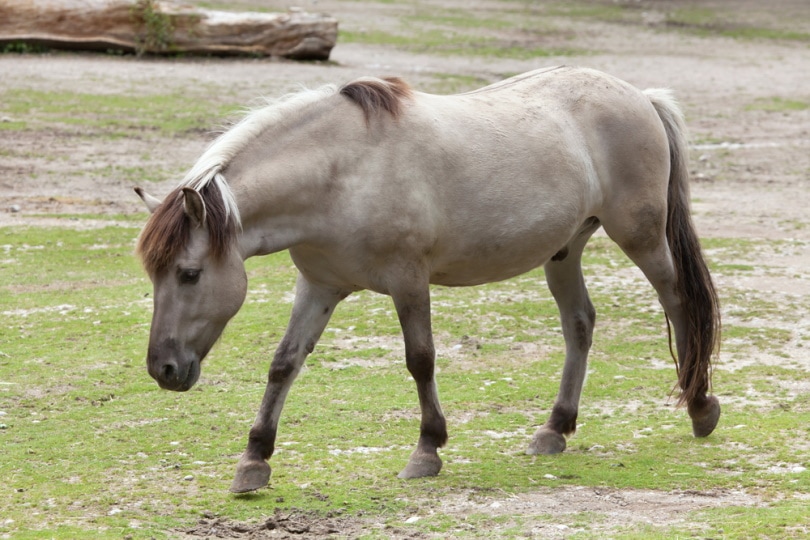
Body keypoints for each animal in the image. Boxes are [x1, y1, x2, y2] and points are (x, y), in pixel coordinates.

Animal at [134, 66, 720, 494]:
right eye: (155, 275)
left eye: (189, 274)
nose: (164, 369)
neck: (343, 172)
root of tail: (640, 96)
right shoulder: (319, 286)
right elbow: (284, 364)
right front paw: (254, 460)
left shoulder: (408, 281)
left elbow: (420, 360)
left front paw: (427, 449)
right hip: (564, 251)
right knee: (580, 324)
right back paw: (554, 429)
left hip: (641, 238)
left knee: (679, 305)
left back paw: (699, 407)